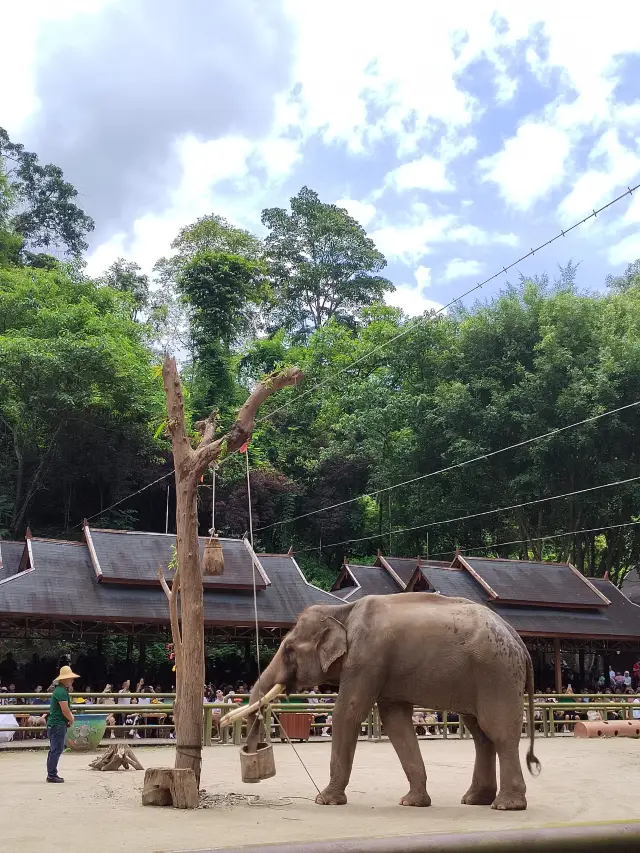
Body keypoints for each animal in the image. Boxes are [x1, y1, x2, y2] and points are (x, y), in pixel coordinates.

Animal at [229, 592, 540, 812]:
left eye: (289, 650)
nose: (254, 772)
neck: (341, 610)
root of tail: (518, 640)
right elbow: (396, 723)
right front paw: (413, 803)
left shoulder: (366, 658)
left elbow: (347, 713)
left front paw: (324, 800)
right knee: (479, 733)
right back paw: (475, 800)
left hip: (497, 674)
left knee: (498, 731)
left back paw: (506, 805)